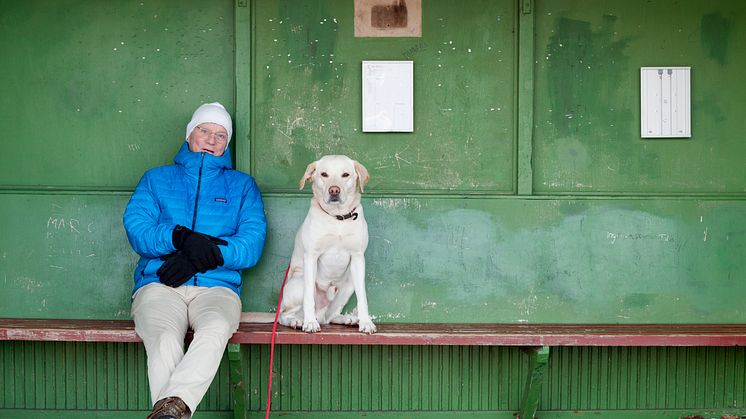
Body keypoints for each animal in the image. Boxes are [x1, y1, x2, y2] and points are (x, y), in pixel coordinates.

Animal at [276, 154, 374, 334]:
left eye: (345, 175)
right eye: (324, 174)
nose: (334, 190)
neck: (337, 218)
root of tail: (320, 314)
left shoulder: (358, 258)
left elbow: (362, 297)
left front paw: (366, 322)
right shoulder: (311, 257)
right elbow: (309, 298)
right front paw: (309, 323)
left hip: (348, 285)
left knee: (329, 316)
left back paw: (346, 318)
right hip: (299, 283)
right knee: (284, 314)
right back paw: (297, 321)